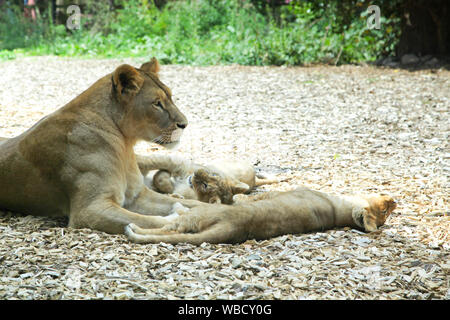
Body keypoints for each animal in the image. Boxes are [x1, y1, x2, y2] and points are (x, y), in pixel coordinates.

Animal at [0, 57, 202, 234]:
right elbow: (145, 220)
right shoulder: (90, 209)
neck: (125, 143)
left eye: (170, 97)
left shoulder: (138, 195)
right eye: (157, 104)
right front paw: (178, 214)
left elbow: (196, 204)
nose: (185, 124)